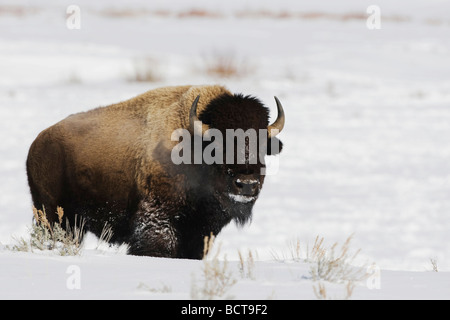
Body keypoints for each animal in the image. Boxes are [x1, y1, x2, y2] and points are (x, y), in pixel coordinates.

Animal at [26, 84, 284, 258]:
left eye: (263, 145)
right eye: (218, 145)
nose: (247, 184)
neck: (193, 145)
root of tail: (38, 142)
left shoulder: (200, 234)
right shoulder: (157, 221)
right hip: (52, 215)